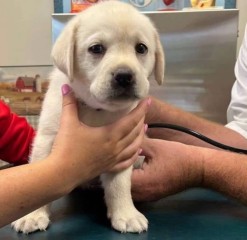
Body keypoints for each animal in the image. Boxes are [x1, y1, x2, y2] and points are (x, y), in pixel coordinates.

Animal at [12, 1, 165, 234]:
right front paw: (33, 215)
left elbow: (119, 184)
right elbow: (38, 178)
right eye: (96, 48)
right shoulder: (46, 138)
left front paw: (126, 213)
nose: (124, 76)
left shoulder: (126, 146)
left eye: (141, 48)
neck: (95, 109)